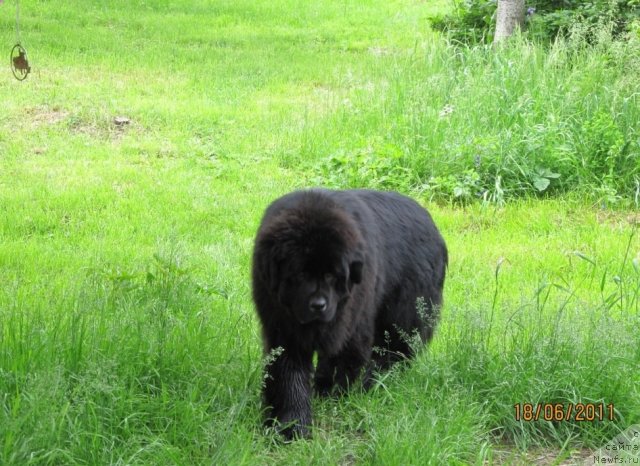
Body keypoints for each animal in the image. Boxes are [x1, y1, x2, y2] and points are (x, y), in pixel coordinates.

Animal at [252, 187, 448, 438]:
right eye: (300, 274)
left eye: (330, 275)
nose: (318, 305)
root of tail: (431, 222)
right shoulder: (283, 328)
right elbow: (289, 375)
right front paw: (291, 425)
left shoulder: (352, 323)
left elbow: (341, 362)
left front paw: (330, 397)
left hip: (405, 311)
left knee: (395, 350)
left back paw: (376, 382)